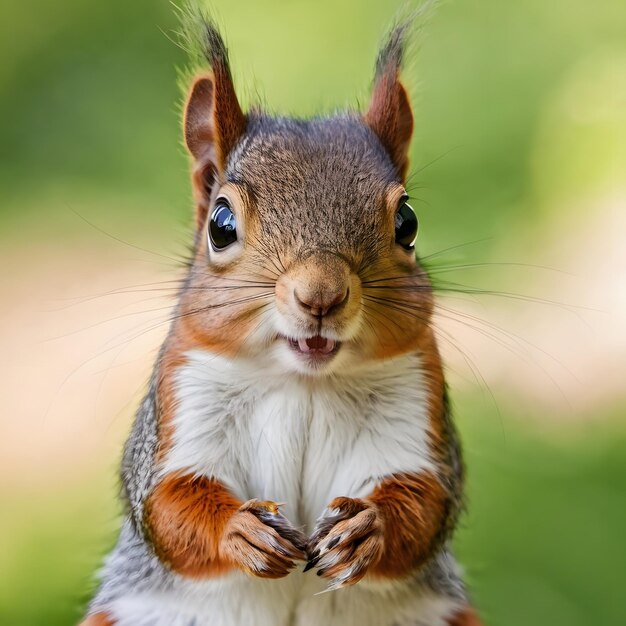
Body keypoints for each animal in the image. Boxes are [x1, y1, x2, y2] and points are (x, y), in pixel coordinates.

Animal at [81, 6, 482, 624]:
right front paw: (239, 532)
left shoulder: (419, 402)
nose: (321, 295)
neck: (304, 382)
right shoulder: (181, 394)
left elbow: (428, 501)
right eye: (220, 224)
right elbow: (165, 502)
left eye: (408, 223)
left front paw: (368, 530)